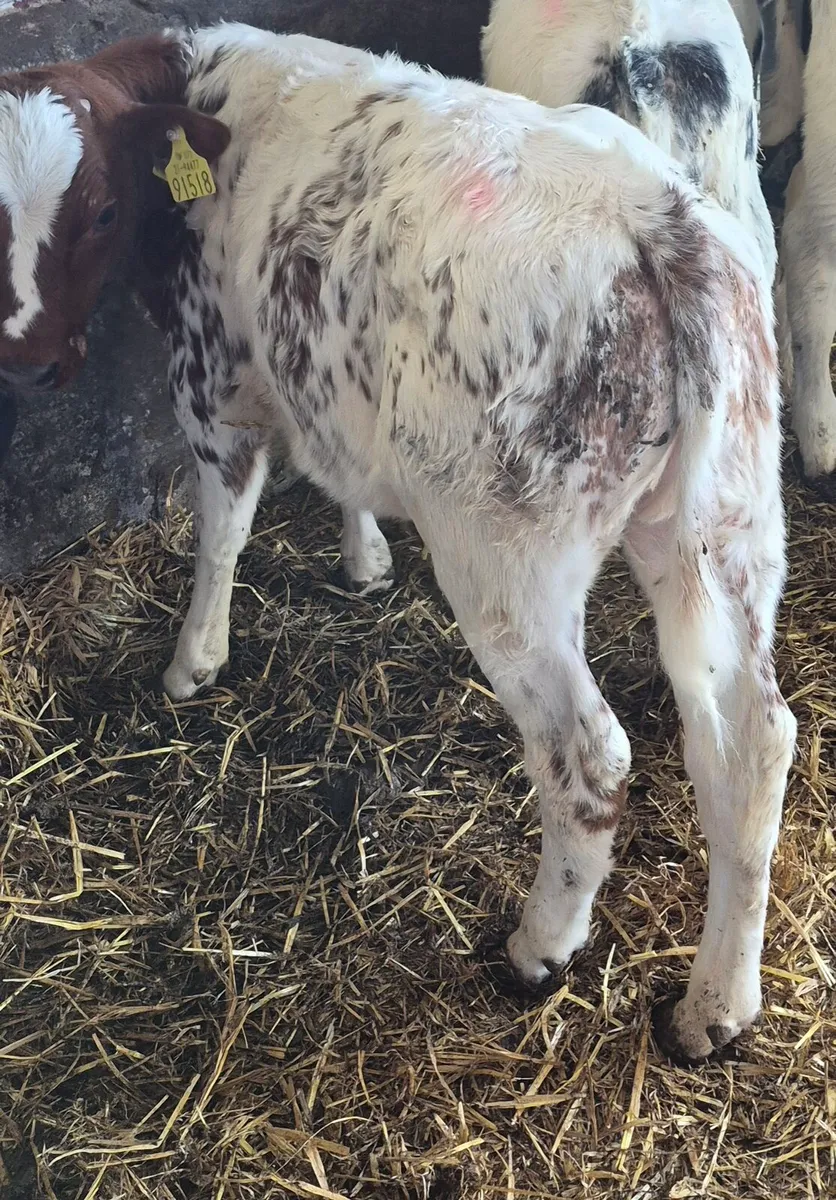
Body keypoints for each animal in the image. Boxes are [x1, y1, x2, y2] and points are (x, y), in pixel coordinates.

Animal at [0, 25, 796, 1061]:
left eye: (97, 209)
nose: (25, 359)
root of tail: (664, 232)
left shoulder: (214, 381)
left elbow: (223, 529)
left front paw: (193, 660)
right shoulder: (321, 378)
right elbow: (337, 471)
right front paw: (365, 557)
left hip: (509, 564)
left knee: (589, 756)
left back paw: (540, 947)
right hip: (728, 526)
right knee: (751, 743)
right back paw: (716, 1004)